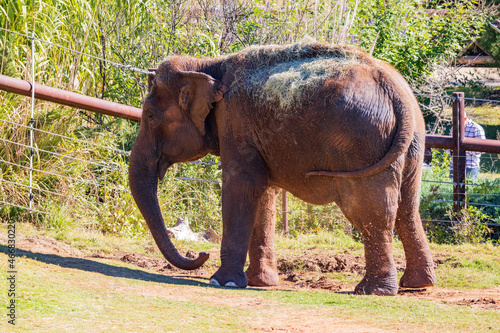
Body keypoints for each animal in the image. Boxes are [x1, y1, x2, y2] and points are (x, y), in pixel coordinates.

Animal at [130, 40, 438, 294]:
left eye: (150, 115)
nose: (201, 254)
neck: (207, 65)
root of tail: (397, 92)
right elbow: (263, 194)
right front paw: (260, 282)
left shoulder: (234, 120)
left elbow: (241, 185)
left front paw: (222, 282)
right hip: (410, 145)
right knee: (407, 208)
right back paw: (417, 284)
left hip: (364, 142)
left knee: (371, 210)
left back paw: (371, 291)